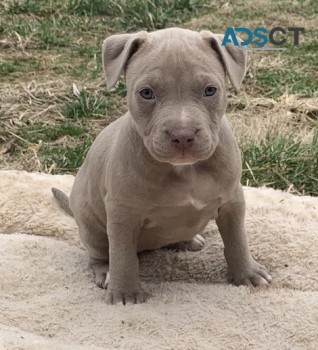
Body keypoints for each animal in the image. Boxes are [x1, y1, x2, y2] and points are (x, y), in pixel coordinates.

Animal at [51, 27, 270, 304]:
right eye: (146, 93)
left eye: (210, 90)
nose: (183, 135)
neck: (184, 169)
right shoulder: (123, 215)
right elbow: (123, 256)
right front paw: (124, 294)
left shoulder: (232, 201)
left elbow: (237, 240)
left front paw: (248, 274)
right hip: (91, 226)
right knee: (100, 254)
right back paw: (106, 273)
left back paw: (187, 240)